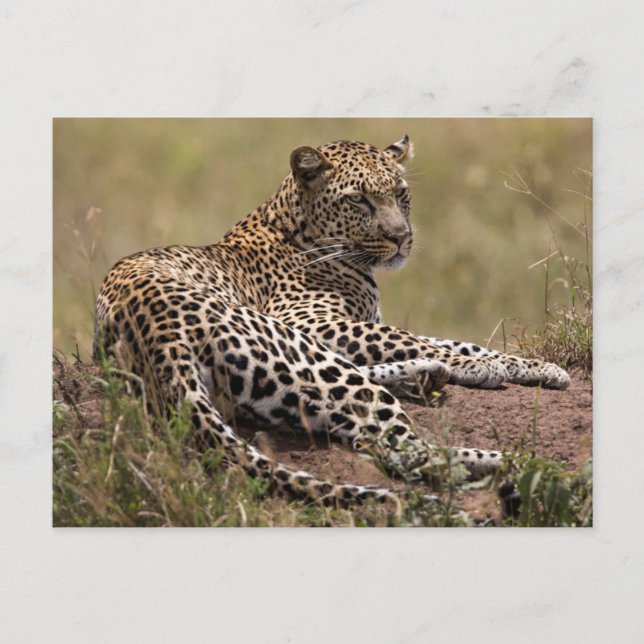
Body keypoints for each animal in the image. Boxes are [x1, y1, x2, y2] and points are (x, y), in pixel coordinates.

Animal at [93, 135, 570, 506]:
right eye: (358, 199)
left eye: (400, 193)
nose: (402, 237)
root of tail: (158, 336)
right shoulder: (313, 322)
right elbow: (413, 337)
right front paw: (486, 366)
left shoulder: (342, 326)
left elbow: (444, 340)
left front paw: (536, 367)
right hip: (289, 343)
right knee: (405, 450)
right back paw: (522, 462)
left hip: (280, 383)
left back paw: (428, 378)